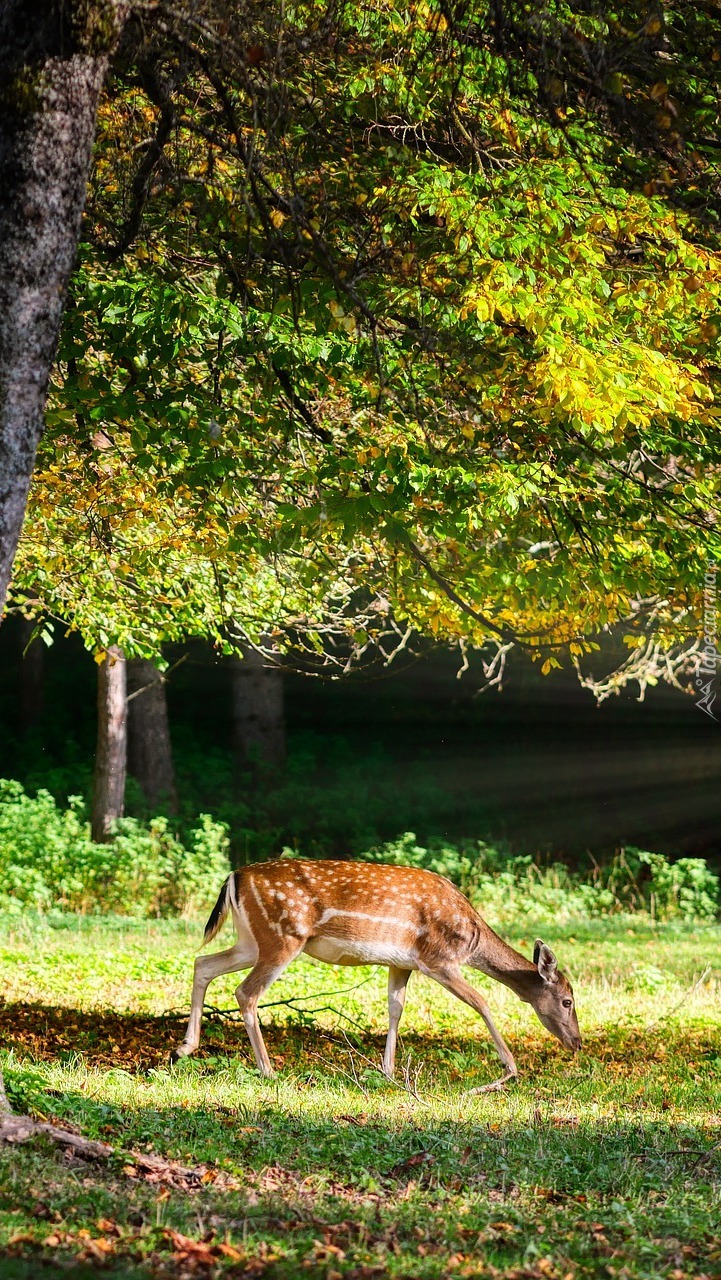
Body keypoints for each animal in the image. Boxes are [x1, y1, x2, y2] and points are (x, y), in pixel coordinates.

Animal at [170, 860, 581, 1090]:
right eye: (567, 1000)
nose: (576, 1042)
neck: (471, 938)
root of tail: (233, 878)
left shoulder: (402, 964)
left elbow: (395, 1009)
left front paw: (388, 1073)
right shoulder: (439, 960)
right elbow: (482, 1002)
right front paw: (508, 1070)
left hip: (251, 940)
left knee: (203, 963)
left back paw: (183, 1048)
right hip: (283, 936)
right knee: (246, 992)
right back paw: (269, 1071)